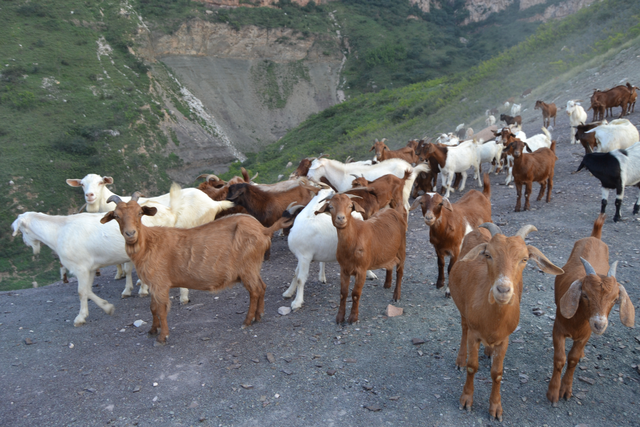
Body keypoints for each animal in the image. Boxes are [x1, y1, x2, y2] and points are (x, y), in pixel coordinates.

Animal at [101, 194, 292, 344]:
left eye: (140, 213)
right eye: (116, 215)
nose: (130, 234)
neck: (149, 243)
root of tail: (264, 230)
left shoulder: (160, 283)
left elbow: (161, 309)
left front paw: (162, 337)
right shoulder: (154, 285)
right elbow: (153, 308)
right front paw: (152, 330)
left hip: (248, 267)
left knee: (255, 290)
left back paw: (247, 320)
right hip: (253, 268)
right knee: (262, 287)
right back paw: (259, 316)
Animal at [314, 194, 404, 324]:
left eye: (350, 206)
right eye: (331, 207)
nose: (341, 218)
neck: (354, 237)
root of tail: (391, 210)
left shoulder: (362, 270)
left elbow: (355, 294)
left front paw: (353, 318)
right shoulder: (344, 269)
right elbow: (343, 293)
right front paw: (339, 318)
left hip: (402, 248)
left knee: (400, 272)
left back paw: (396, 296)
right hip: (388, 251)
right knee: (389, 265)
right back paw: (387, 284)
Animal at [448, 224, 564, 422]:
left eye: (524, 259)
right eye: (488, 255)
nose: (503, 290)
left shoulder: (505, 339)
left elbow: (497, 373)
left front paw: (495, 408)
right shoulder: (474, 333)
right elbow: (472, 367)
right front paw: (466, 400)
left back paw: (488, 351)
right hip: (463, 309)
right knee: (463, 329)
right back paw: (460, 360)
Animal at [544, 216, 636, 406]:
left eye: (615, 299)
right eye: (585, 295)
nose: (599, 324)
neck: (577, 322)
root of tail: (595, 237)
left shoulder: (585, 335)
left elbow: (572, 359)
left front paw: (566, 390)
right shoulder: (558, 329)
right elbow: (560, 359)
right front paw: (553, 392)